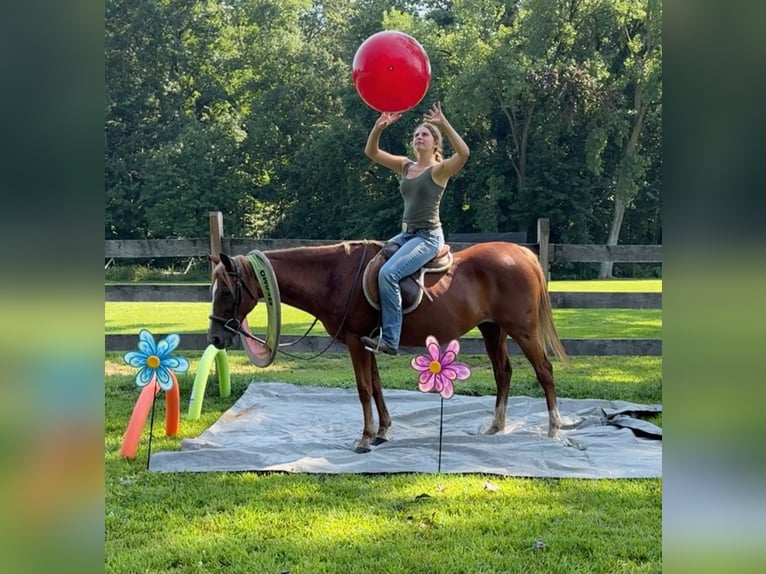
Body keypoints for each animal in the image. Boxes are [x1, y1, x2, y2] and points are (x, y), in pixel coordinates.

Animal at [208, 241, 568, 452]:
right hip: (493, 330)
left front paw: (366, 437)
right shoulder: (370, 343)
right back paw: (496, 427)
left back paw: (554, 428)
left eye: (225, 291)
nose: (215, 337)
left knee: (544, 372)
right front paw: (382, 431)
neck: (335, 276)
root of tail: (522, 254)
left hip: (523, 331)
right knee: (503, 373)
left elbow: (364, 388)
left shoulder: (356, 341)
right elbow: (378, 386)